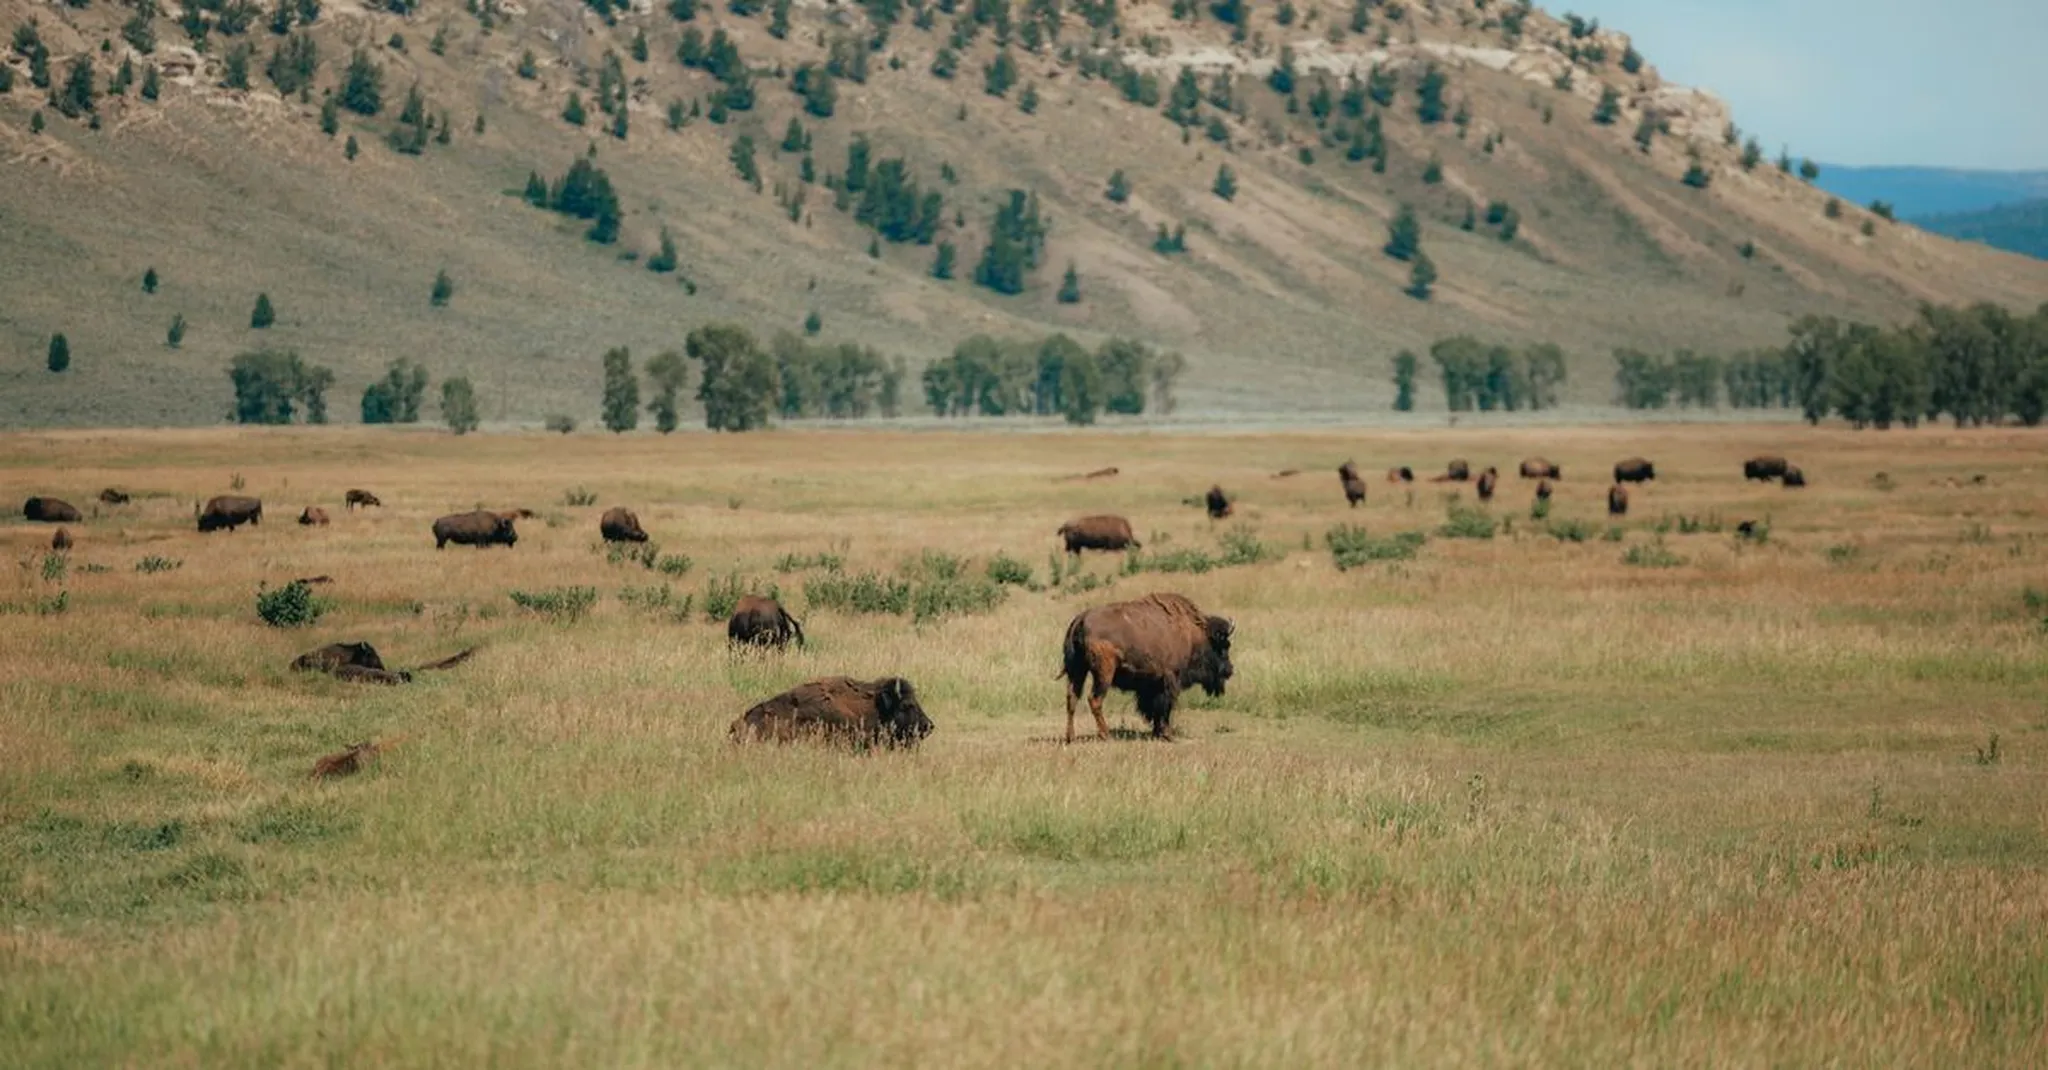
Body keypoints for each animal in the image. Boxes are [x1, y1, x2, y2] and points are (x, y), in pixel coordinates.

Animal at [1059, 592, 1235, 743]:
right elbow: (1165, 707)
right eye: (1224, 646)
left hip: (1077, 671)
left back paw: (1070, 737)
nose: (1230, 670)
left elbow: (1153, 708)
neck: (1194, 635)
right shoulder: (1170, 680)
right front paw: (1167, 735)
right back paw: (1105, 735)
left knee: (1072, 698)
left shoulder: (1152, 684)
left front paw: (1157, 733)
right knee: (1094, 700)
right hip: (1103, 674)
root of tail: (1081, 619)